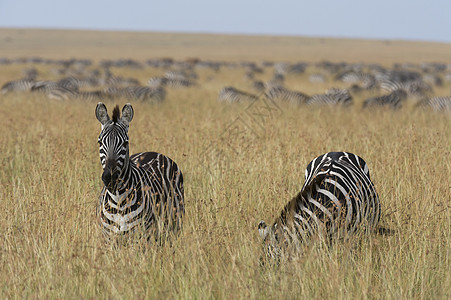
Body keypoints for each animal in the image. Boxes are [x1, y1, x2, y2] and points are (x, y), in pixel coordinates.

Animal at [95, 103, 185, 241]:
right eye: (100, 142)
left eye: (125, 143)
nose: (110, 178)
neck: (118, 200)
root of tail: (154, 152)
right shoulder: (108, 239)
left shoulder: (141, 238)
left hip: (174, 225)